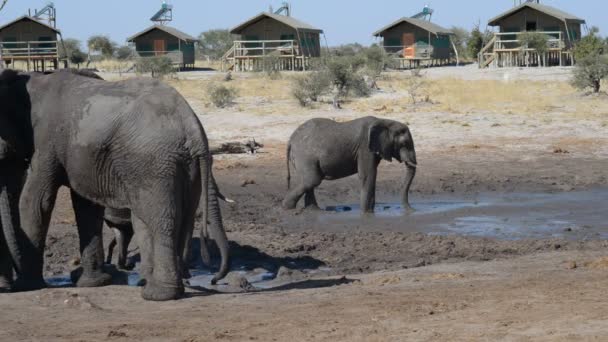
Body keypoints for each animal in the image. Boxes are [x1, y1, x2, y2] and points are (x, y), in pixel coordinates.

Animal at [0, 69, 230, 300]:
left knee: (163, 220)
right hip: (183, 163)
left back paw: (157, 294)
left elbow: (36, 201)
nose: (212, 279)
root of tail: (192, 124)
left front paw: (27, 286)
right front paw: (94, 283)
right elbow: (86, 206)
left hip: (154, 161)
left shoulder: (46, 140)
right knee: (182, 218)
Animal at [282, 117, 416, 214]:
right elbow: (368, 175)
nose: (413, 210)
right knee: (312, 180)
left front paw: (369, 213)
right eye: (404, 143)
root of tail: (290, 140)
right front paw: (367, 214)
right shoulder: (365, 147)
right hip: (304, 155)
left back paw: (314, 211)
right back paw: (287, 208)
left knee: (310, 181)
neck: (385, 121)